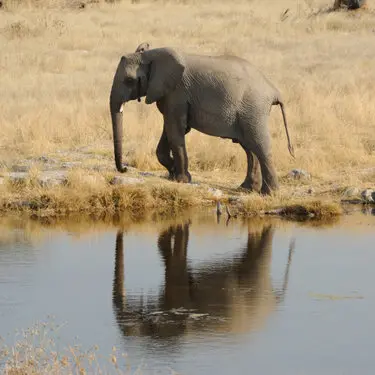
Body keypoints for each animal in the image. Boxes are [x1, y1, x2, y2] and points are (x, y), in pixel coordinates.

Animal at [110, 43, 296, 195]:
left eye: (129, 80)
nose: (124, 169)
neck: (151, 55)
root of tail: (274, 90)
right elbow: (171, 128)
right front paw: (172, 174)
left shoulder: (177, 92)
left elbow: (175, 128)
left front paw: (182, 179)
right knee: (250, 148)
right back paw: (247, 189)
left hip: (253, 109)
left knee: (259, 145)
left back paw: (269, 193)